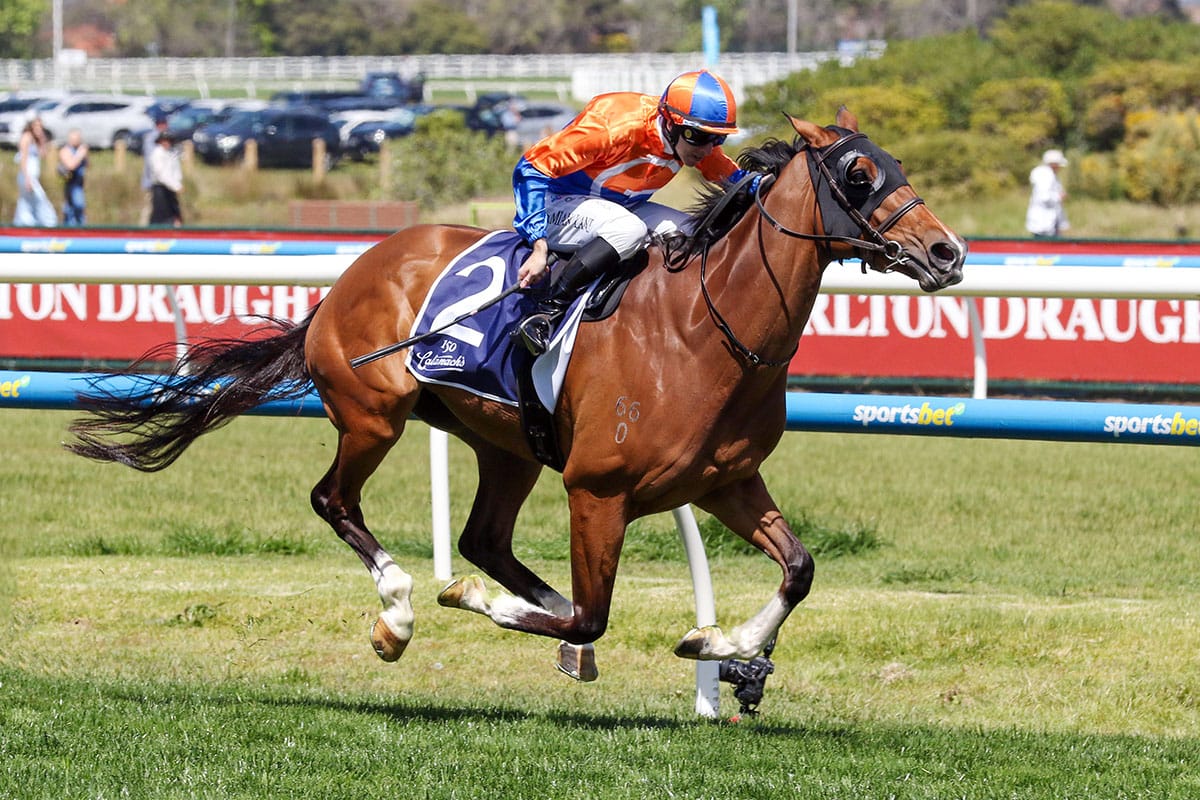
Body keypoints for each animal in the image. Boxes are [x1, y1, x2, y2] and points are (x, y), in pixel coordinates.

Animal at [67, 108, 966, 683]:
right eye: (859, 173)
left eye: (900, 167)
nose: (948, 252)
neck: (703, 331)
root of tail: (345, 279)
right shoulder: (597, 491)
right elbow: (591, 613)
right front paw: (475, 605)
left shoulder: (724, 481)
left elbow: (800, 568)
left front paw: (726, 648)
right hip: (373, 416)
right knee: (336, 501)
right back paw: (398, 612)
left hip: (506, 446)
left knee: (485, 538)